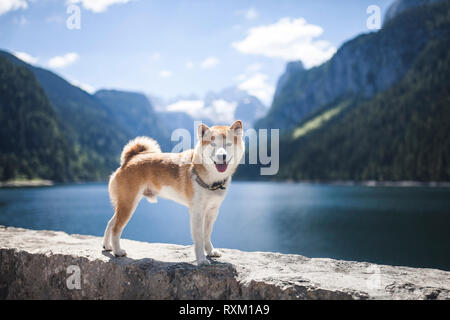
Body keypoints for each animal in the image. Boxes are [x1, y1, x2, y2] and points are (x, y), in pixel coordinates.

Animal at [102, 120, 244, 264]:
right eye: (212, 144)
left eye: (228, 144)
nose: (222, 156)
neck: (211, 178)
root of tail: (130, 158)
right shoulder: (197, 211)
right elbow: (199, 237)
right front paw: (201, 259)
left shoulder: (212, 211)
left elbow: (207, 234)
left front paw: (210, 251)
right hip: (128, 203)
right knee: (116, 228)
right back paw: (117, 251)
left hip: (125, 204)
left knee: (110, 223)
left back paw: (107, 246)